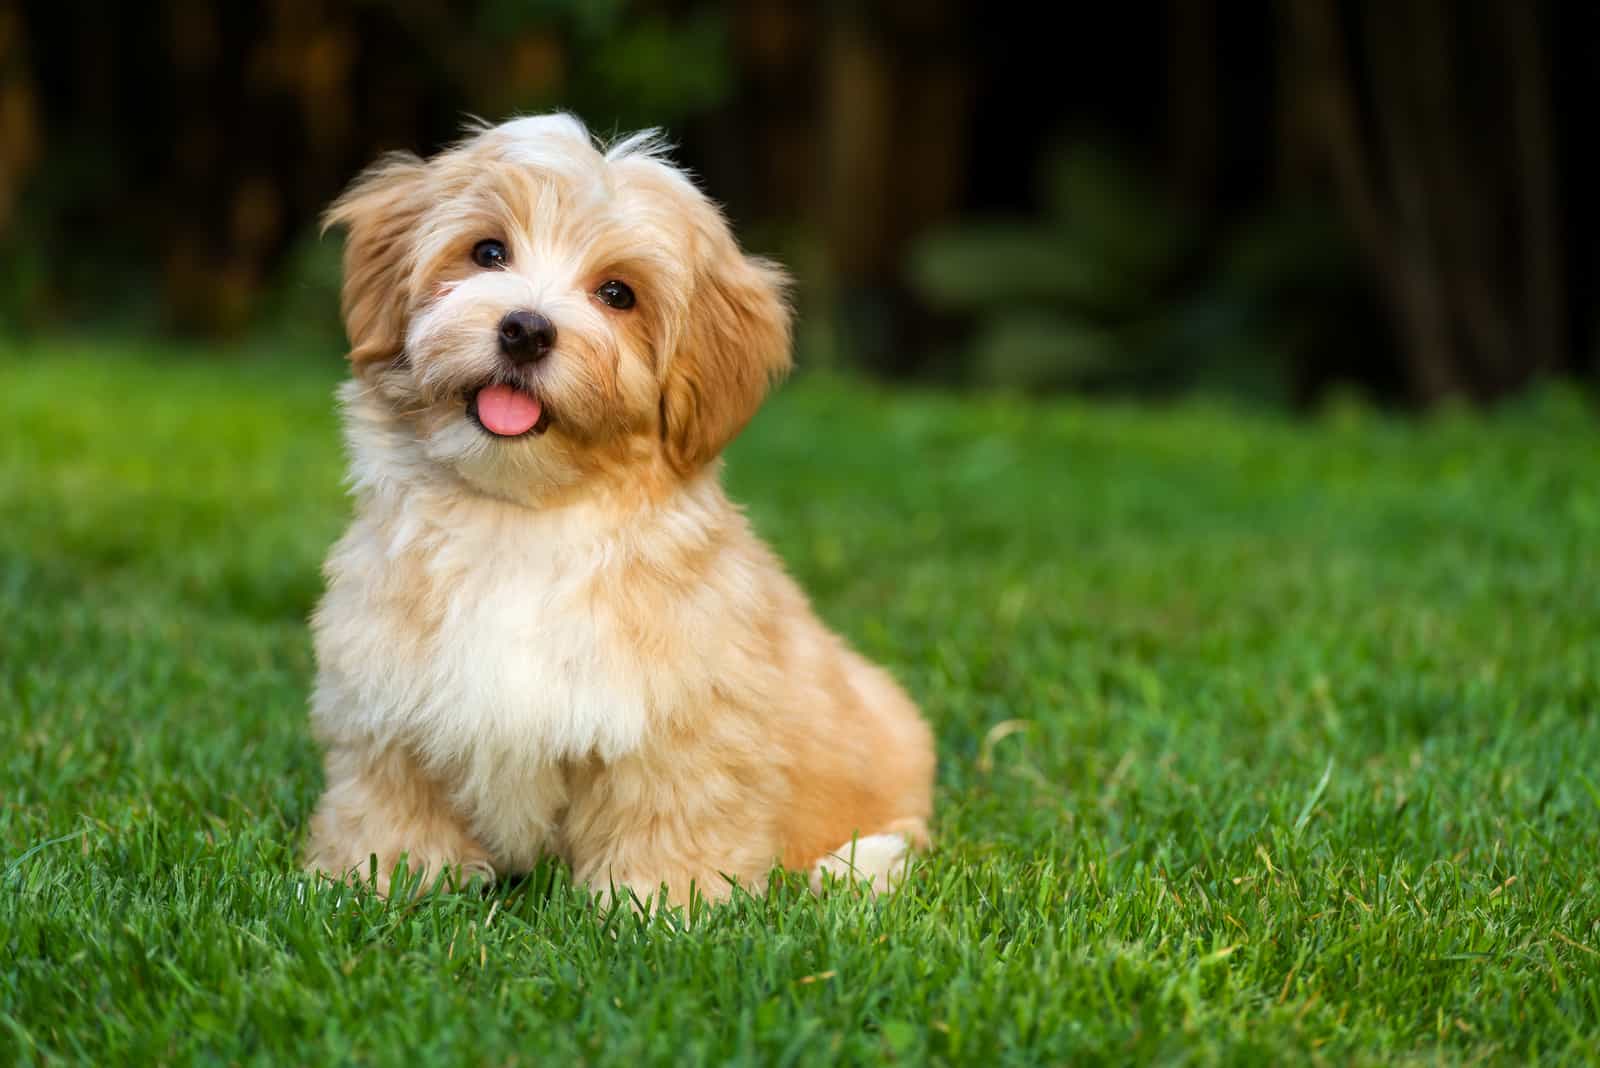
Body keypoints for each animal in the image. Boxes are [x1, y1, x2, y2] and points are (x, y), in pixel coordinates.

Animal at [304, 115, 934, 901]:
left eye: (617, 293)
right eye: (488, 252)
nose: (526, 329)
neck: (522, 514)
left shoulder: (679, 722)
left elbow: (669, 812)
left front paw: (653, 903)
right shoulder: (387, 701)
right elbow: (390, 800)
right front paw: (374, 879)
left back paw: (859, 865)